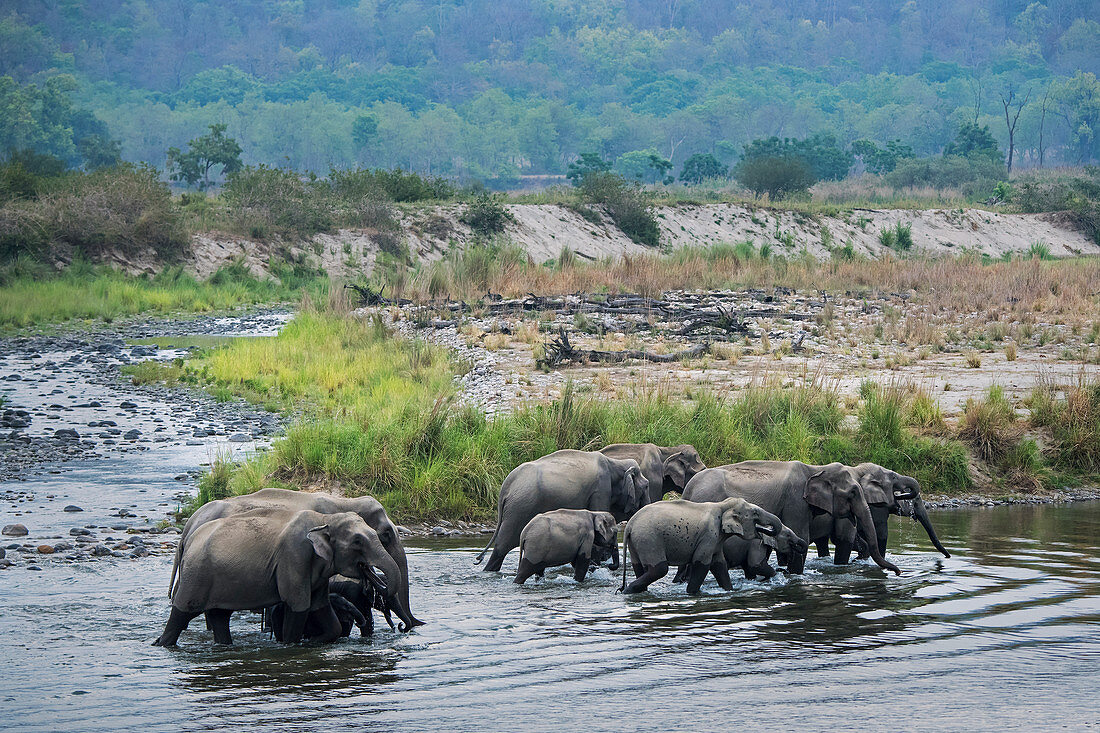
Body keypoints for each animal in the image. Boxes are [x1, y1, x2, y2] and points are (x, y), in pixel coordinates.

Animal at [155, 508, 409, 647]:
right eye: (357, 541)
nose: (400, 627)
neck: (324, 519)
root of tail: (186, 540)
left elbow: (324, 613)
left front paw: (313, 641)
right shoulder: (294, 557)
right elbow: (298, 607)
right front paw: (292, 643)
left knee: (219, 617)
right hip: (196, 575)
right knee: (181, 614)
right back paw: (162, 644)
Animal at [473, 444, 642, 572]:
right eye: (645, 487)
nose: (609, 565)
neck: (615, 462)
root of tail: (505, 487)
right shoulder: (601, 490)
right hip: (520, 508)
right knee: (503, 544)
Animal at [620, 493, 774, 589]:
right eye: (755, 513)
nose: (765, 531)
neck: (722, 505)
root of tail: (630, 525)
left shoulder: (716, 540)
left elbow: (719, 565)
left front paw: (729, 590)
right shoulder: (709, 535)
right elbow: (702, 563)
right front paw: (692, 594)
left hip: (637, 542)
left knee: (639, 567)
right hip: (648, 539)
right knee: (659, 569)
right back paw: (628, 590)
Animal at [677, 460, 902, 572]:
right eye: (853, 493)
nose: (897, 572)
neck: (816, 469)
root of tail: (688, 489)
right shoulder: (795, 502)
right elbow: (802, 538)